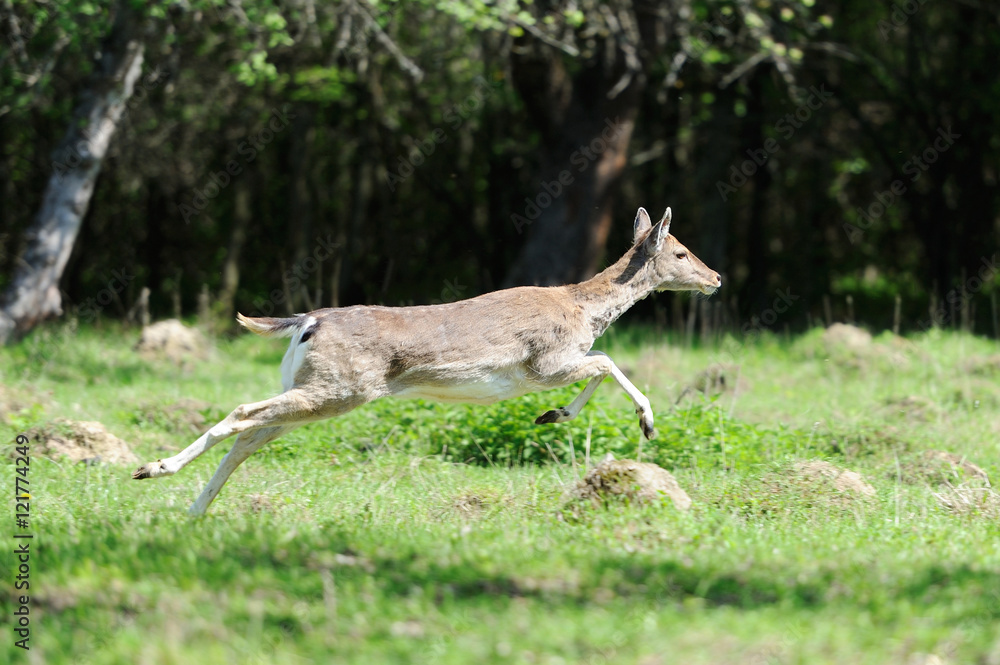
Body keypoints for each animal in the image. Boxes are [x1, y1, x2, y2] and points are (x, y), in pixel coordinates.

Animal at [137, 208, 724, 512]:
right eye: (680, 252)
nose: (716, 277)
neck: (584, 309)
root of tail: (305, 322)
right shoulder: (542, 364)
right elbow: (607, 361)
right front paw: (646, 423)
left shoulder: (554, 365)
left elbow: (603, 358)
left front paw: (552, 416)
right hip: (340, 387)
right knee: (241, 415)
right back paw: (155, 469)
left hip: (313, 388)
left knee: (250, 436)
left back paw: (192, 509)